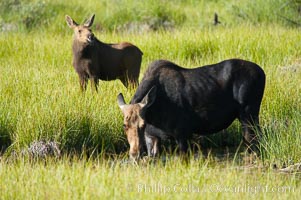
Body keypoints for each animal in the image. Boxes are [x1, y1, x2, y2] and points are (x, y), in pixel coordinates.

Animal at [117, 58, 264, 159]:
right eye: (124, 125)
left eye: (142, 125)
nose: (134, 154)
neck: (153, 114)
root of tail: (263, 73)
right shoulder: (152, 137)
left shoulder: (182, 133)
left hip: (248, 114)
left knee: (254, 140)